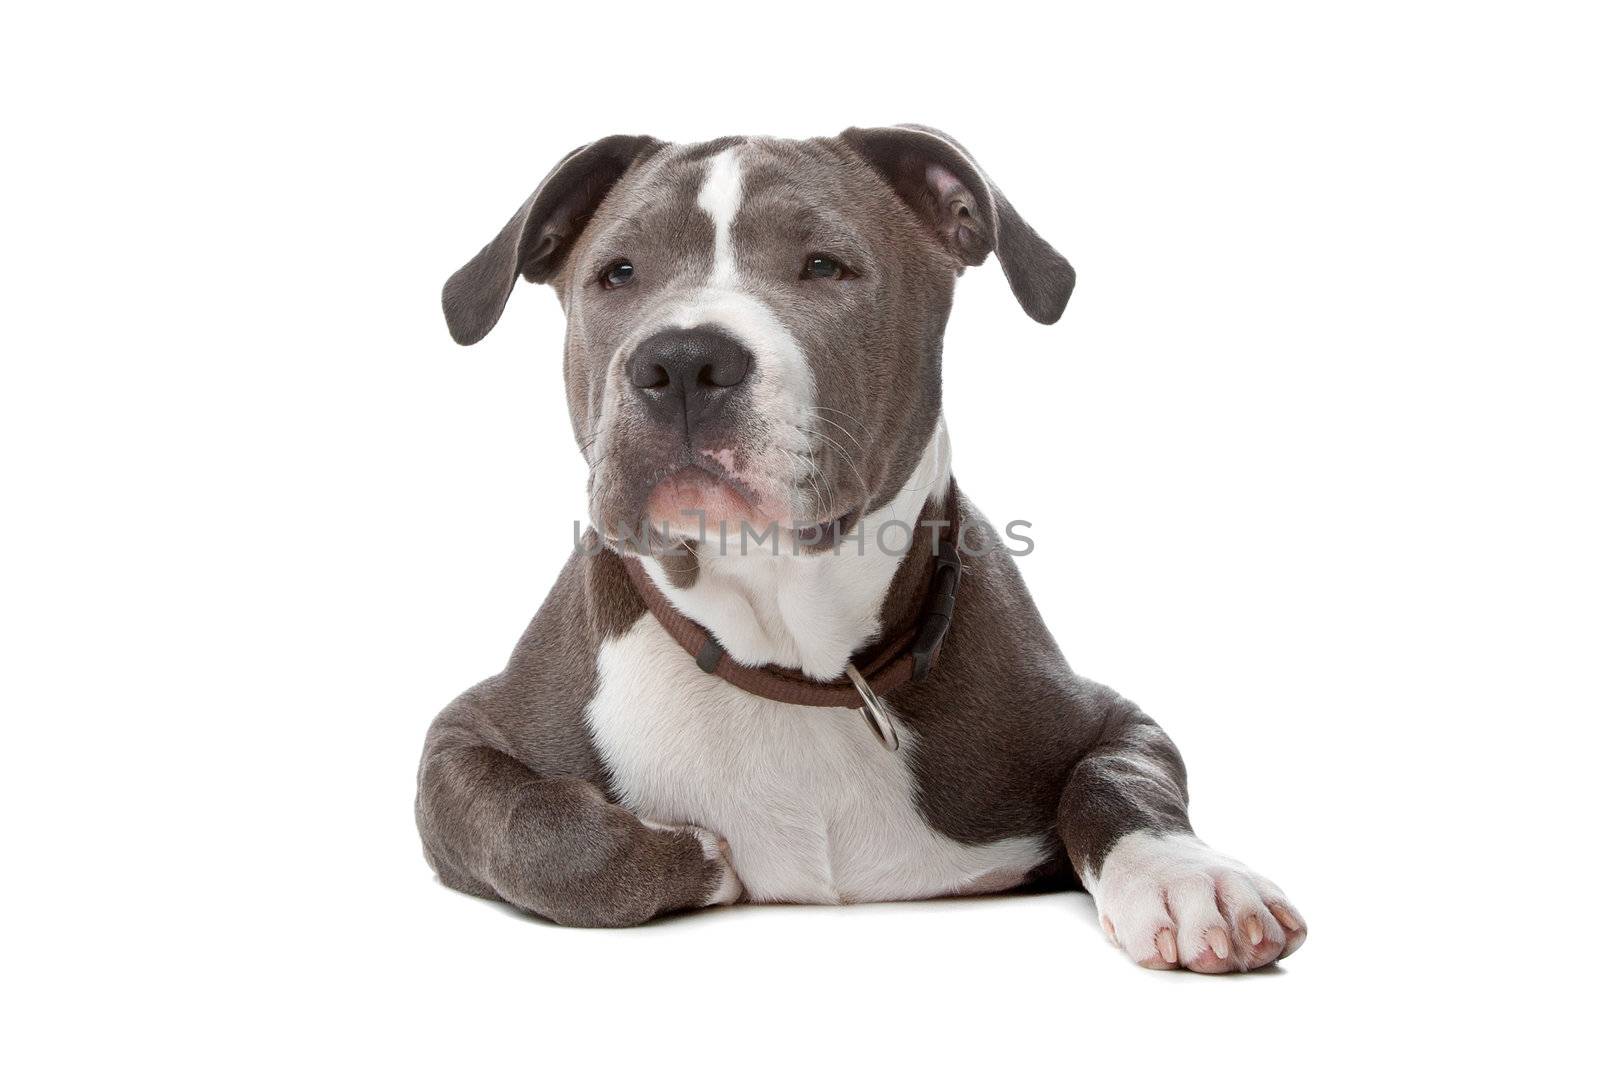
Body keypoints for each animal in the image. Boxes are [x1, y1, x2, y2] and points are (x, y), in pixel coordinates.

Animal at [419, 127, 1305, 979]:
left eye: (824, 266)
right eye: (619, 272)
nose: (681, 359)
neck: (790, 656)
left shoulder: (1113, 718)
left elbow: (1116, 782)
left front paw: (1189, 878)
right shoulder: (461, 737)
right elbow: (534, 829)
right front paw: (695, 856)